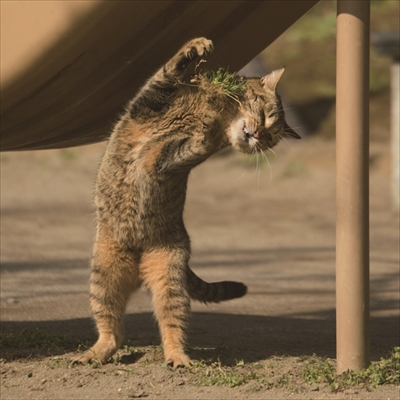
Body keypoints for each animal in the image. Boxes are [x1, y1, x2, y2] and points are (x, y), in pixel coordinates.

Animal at [74, 37, 300, 368]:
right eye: (266, 115)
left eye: (272, 136)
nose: (259, 135)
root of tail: (139, 264)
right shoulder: (148, 102)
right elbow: (169, 70)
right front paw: (197, 47)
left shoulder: (166, 159)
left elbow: (193, 144)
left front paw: (210, 125)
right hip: (103, 276)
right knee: (112, 331)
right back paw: (95, 353)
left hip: (169, 280)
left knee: (165, 326)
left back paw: (177, 357)